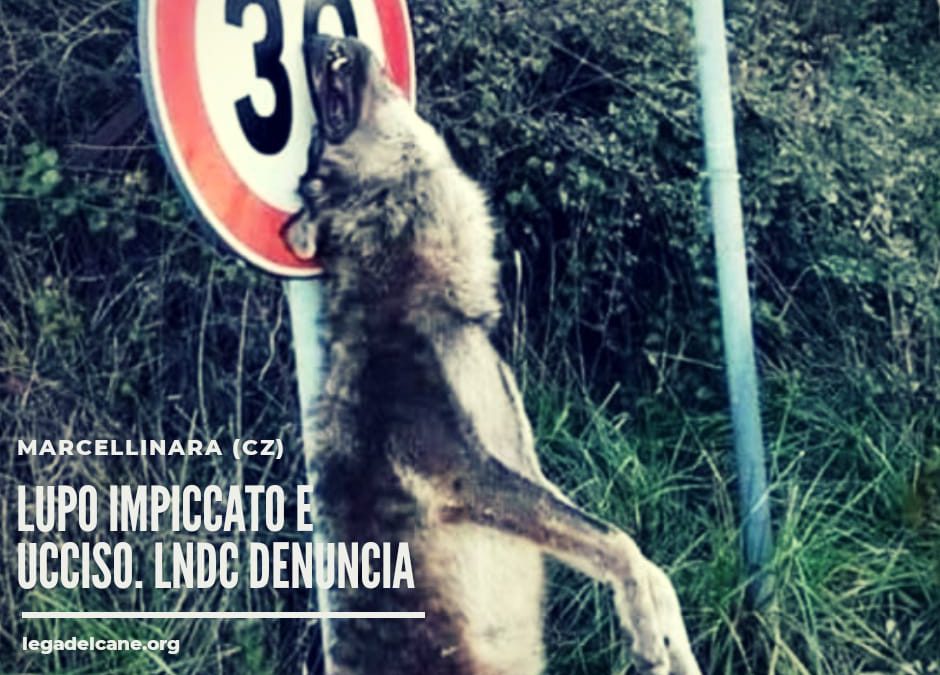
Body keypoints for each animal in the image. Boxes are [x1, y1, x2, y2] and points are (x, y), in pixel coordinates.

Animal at [282, 34, 701, 675]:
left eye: (312, 143)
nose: (313, 35)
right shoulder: (469, 477)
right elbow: (620, 544)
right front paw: (648, 635)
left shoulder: (523, 466)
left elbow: (646, 564)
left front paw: (669, 641)